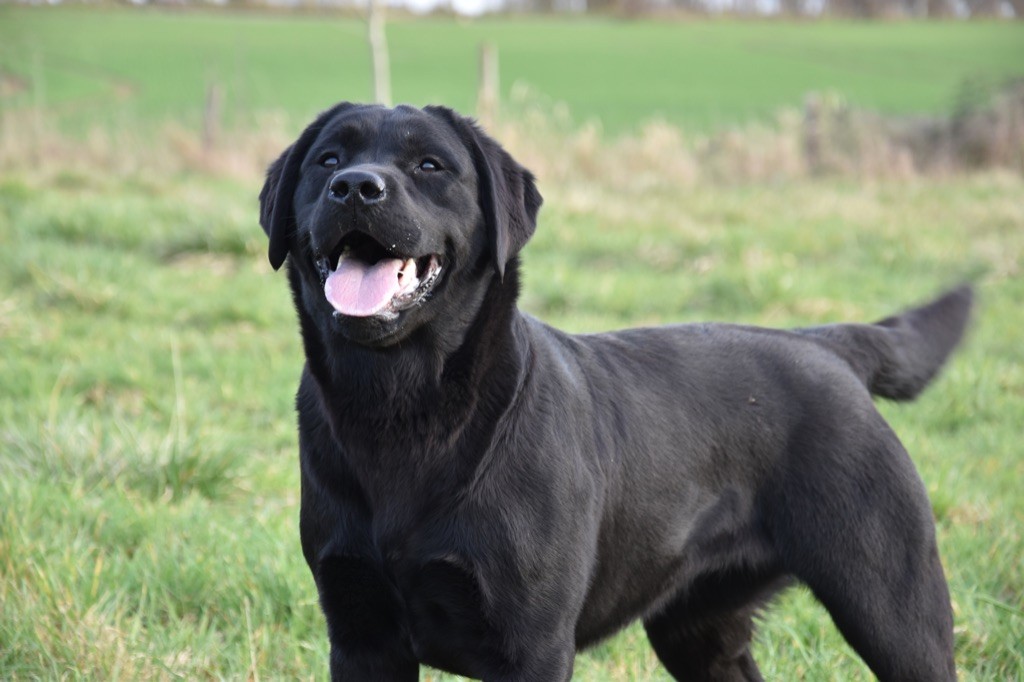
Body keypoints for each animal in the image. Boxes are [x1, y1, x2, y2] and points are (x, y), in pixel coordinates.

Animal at [260, 102, 970, 679]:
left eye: (430, 164)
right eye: (328, 159)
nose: (356, 187)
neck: (401, 409)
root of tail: (827, 344)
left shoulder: (532, 645)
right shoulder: (360, 636)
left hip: (893, 607)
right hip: (697, 628)